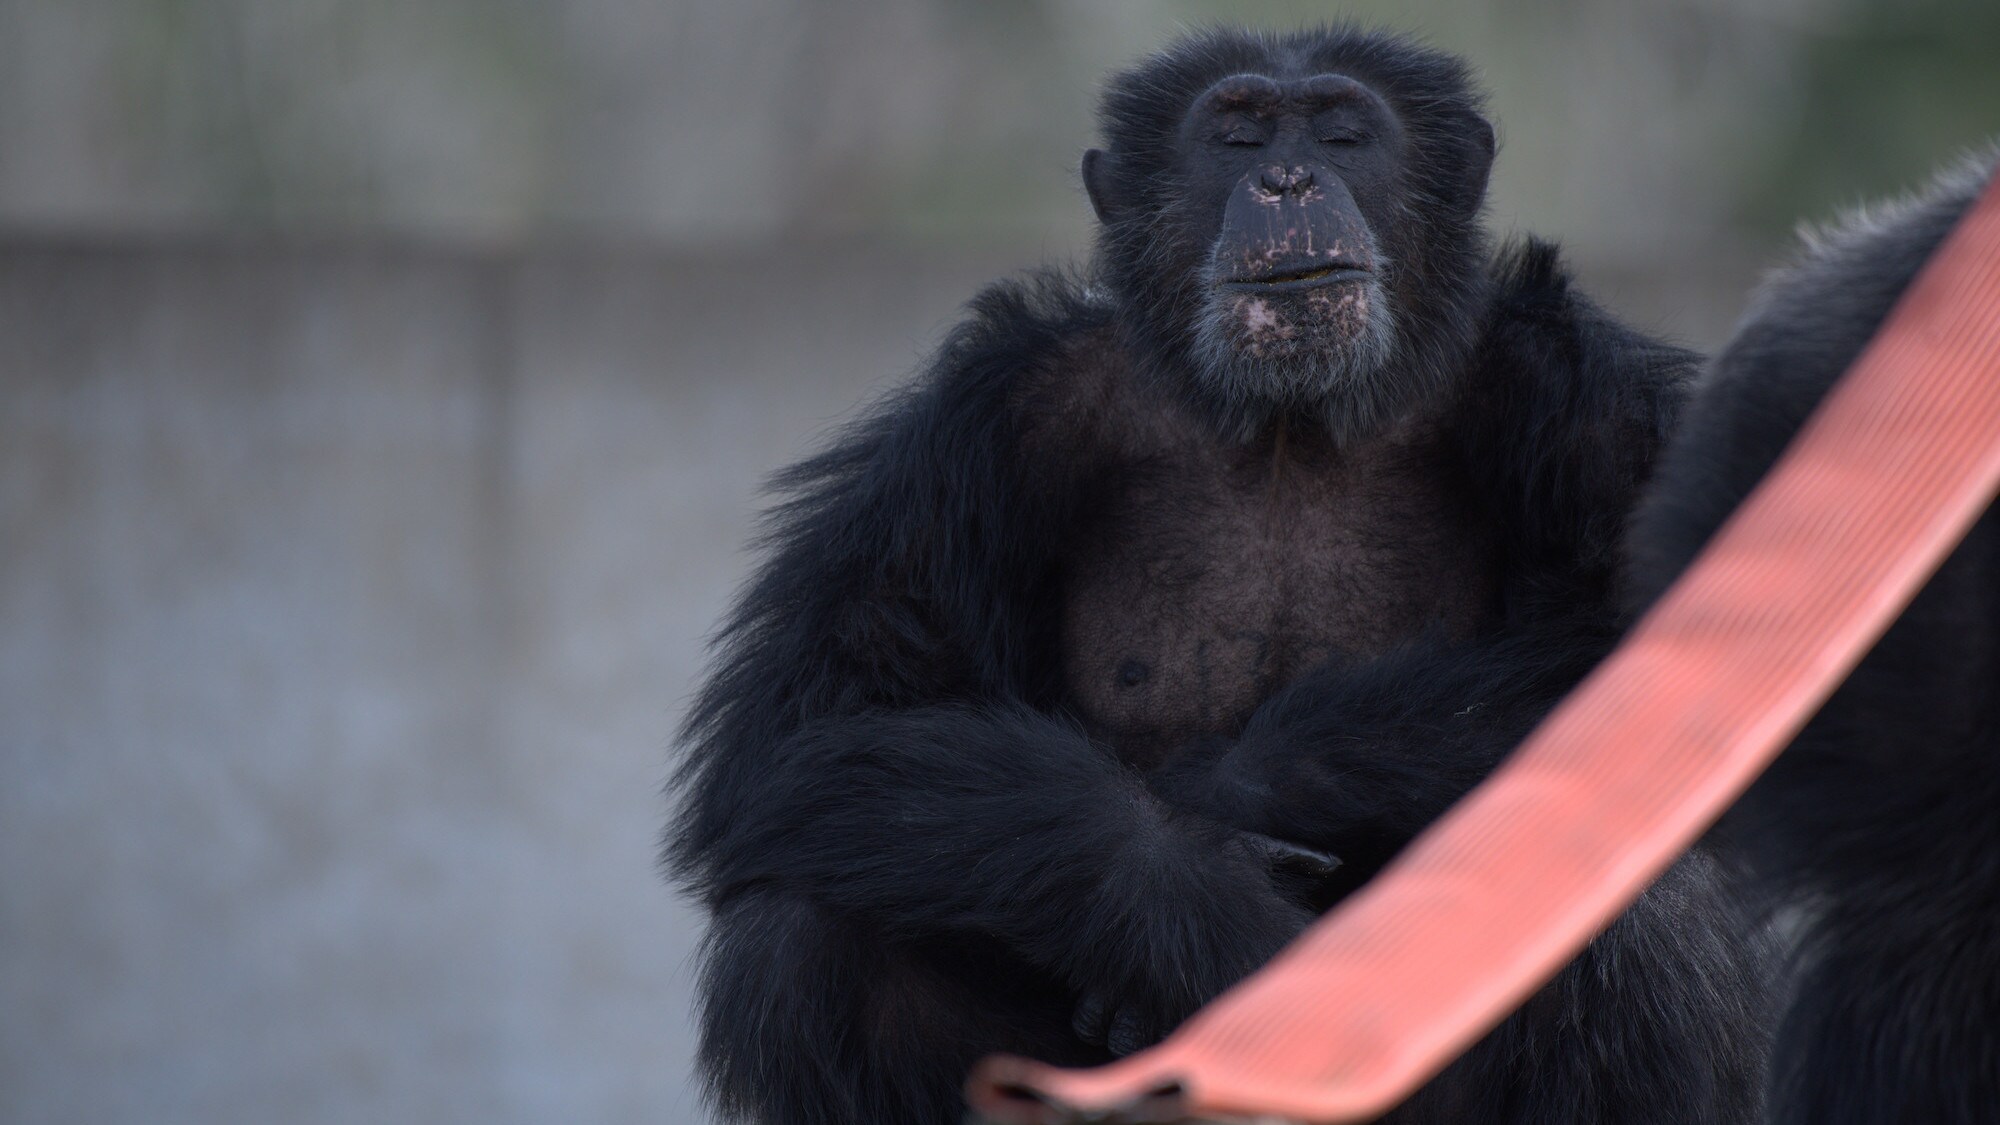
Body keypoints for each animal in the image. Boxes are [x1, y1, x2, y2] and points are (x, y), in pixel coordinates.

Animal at [668, 26, 1768, 1120]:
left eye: (1342, 131)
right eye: (1233, 137)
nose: (1286, 179)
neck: (1289, 421)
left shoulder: (1594, 406)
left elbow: (1694, 665)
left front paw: (1233, 784)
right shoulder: (981, 425)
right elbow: (818, 722)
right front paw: (1205, 896)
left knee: (1637, 889)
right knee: (810, 926)